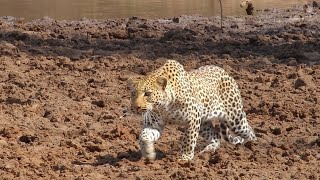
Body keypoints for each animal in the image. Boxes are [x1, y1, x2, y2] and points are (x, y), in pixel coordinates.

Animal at [127, 59, 258, 161]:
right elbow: (143, 136)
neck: (163, 107)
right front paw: (148, 153)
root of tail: (225, 72)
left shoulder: (193, 118)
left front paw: (184, 158)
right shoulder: (153, 124)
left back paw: (252, 146)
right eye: (133, 94)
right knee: (216, 135)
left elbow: (188, 139)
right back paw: (208, 151)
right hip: (204, 123)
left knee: (249, 130)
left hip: (235, 119)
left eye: (147, 94)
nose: (136, 107)